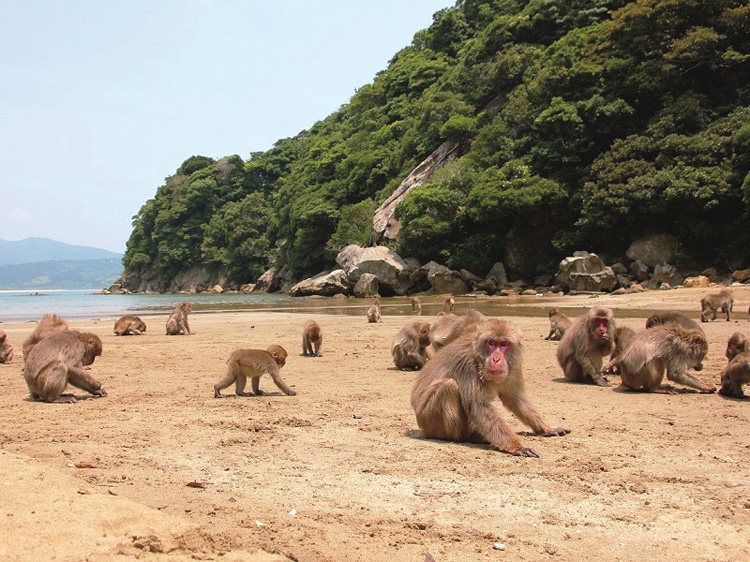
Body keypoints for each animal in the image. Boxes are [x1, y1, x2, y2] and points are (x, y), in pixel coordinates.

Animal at [412, 316, 568, 456]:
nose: (496, 359)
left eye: (504, 344)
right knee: (449, 386)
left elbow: (515, 399)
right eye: (491, 343)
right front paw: (517, 447)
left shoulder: (515, 365)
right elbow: (479, 406)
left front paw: (546, 429)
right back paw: (467, 437)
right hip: (429, 421)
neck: (480, 357)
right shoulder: (467, 364)